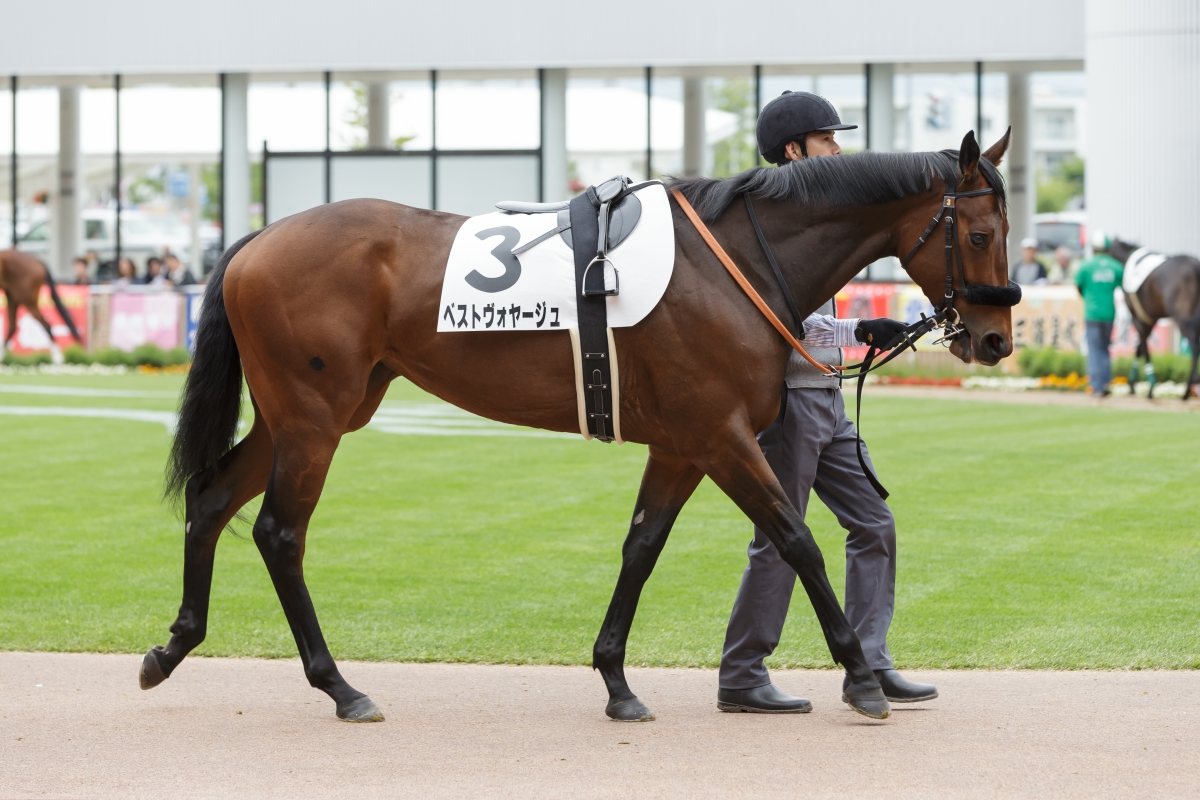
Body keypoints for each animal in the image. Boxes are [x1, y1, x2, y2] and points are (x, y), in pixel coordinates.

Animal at [145, 130, 1017, 724]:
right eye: (979, 234)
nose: (994, 340)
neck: (732, 261)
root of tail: (259, 237)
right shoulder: (721, 435)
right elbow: (796, 540)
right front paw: (861, 678)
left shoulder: (681, 444)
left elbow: (641, 547)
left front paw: (616, 680)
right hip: (314, 419)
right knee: (278, 533)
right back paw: (339, 685)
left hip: (307, 413)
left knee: (213, 499)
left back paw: (172, 646)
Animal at [1104, 237, 1200, 400]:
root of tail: (1195, 266)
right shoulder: (1150, 319)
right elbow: (1139, 349)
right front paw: (1132, 386)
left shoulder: (1139, 318)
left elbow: (1143, 347)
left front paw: (1149, 388)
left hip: (1183, 319)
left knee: (1195, 345)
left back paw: (1187, 389)